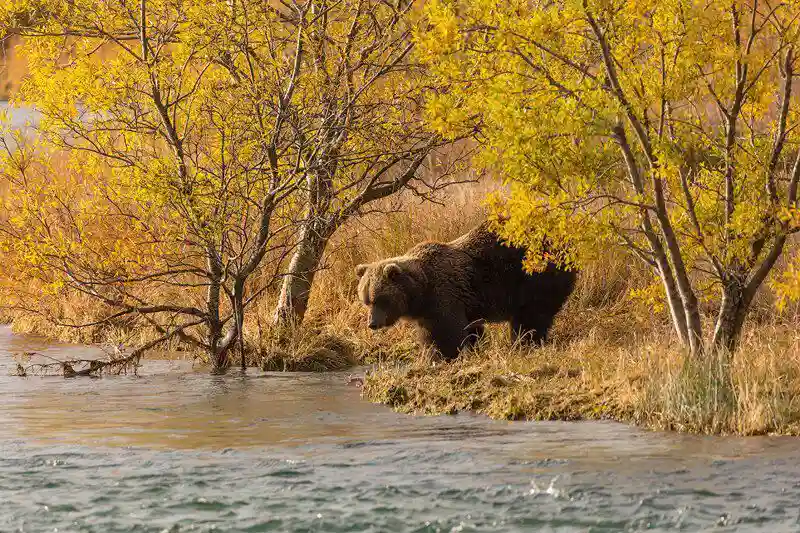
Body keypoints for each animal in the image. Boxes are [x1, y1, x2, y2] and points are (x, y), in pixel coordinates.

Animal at [354, 218, 576, 360]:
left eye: (380, 299)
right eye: (365, 300)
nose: (372, 323)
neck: (420, 293)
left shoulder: (443, 298)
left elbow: (446, 334)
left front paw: (440, 356)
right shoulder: (449, 306)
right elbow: (471, 329)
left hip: (534, 274)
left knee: (531, 314)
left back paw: (525, 342)